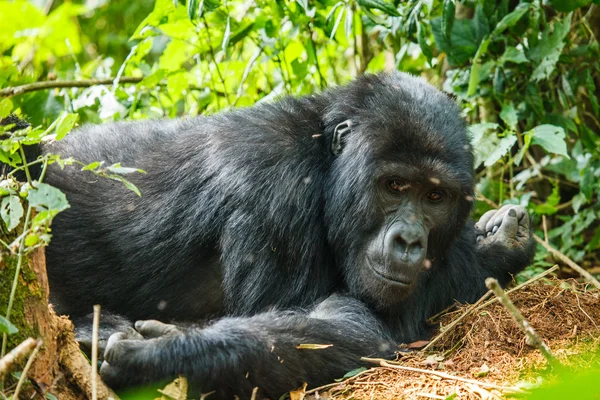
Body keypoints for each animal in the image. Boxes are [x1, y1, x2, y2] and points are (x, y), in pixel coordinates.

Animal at [32, 72, 532, 396]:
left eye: (434, 197)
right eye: (394, 186)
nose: (409, 241)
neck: (324, 161)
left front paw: (497, 246)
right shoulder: (275, 187)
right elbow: (338, 325)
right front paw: (170, 353)